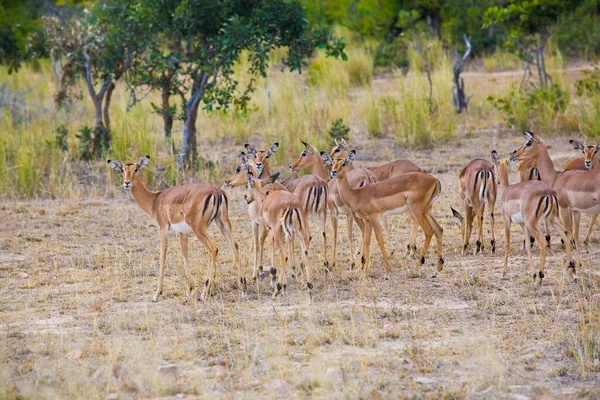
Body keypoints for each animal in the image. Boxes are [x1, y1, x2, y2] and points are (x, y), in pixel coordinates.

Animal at [109, 155, 245, 300]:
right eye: (122, 170)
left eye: (136, 169)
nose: (127, 183)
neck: (155, 200)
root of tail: (216, 191)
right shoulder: (182, 232)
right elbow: (184, 254)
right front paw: (189, 289)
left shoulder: (163, 227)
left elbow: (163, 255)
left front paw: (156, 294)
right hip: (223, 223)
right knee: (235, 246)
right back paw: (243, 289)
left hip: (199, 229)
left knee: (214, 249)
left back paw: (204, 293)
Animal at [244, 173, 312, 302]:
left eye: (248, 185)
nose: (246, 198)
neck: (264, 200)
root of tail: (291, 203)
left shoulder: (269, 229)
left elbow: (266, 245)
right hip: (299, 232)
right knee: (305, 253)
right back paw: (309, 286)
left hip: (277, 231)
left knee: (284, 256)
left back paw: (276, 290)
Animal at [328, 152, 440, 280]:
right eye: (332, 163)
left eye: (343, 163)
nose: (333, 172)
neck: (356, 194)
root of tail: (434, 179)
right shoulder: (367, 220)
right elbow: (367, 240)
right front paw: (364, 271)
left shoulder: (374, 217)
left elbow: (380, 239)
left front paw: (386, 272)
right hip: (427, 211)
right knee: (439, 230)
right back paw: (436, 270)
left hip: (418, 211)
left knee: (429, 231)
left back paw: (419, 264)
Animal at [492, 150, 576, 282]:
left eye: (493, 166)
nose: (497, 180)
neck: (507, 191)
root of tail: (548, 191)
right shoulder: (524, 224)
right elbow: (527, 245)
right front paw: (533, 274)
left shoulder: (507, 221)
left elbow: (507, 243)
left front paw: (503, 273)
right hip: (552, 219)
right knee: (566, 237)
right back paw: (573, 273)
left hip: (533, 223)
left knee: (543, 243)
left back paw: (540, 278)